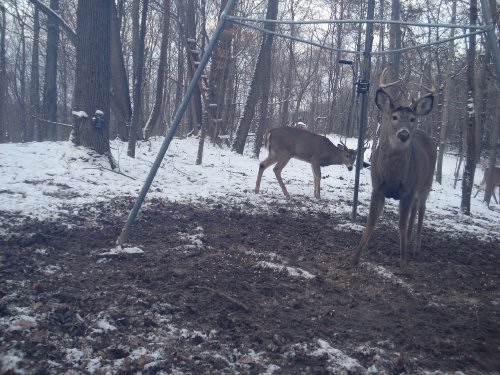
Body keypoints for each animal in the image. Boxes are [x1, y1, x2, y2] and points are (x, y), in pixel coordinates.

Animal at [352, 69, 438, 268]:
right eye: (394, 117)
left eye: (413, 119)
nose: (404, 134)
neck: (392, 175)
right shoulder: (377, 187)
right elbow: (371, 221)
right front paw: (355, 257)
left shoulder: (407, 189)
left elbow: (401, 224)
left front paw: (403, 261)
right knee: (415, 210)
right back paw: (409, 240)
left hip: (426, 182)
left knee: (421, 209)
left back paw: (415, 247)